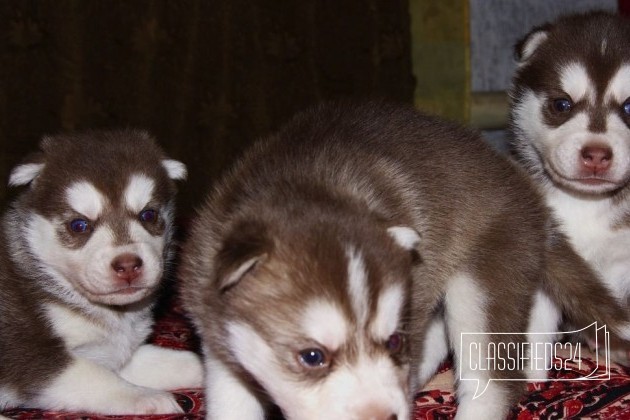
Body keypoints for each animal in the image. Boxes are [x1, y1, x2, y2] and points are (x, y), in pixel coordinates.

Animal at [0, 130, 202, 414]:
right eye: (79, 225)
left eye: (148, 215)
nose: (128, 265)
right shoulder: (31, 354)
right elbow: (96, 377)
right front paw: (148, 397)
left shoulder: (113, 351)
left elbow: (176, 360)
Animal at [180, 102, 630, 420]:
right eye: (312, 357)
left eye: (394, 341)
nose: (383, 416)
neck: (303, 187)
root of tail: (534, 198)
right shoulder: (218, 334)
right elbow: (231, 398)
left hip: (486, 272)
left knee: (490, 380)